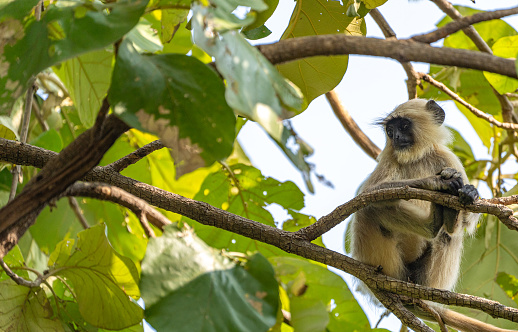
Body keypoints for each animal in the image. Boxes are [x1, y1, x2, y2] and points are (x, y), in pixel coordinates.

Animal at [352, 99, 516, 332]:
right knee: (370, 209)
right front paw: (435, 182)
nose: (396, 138)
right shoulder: (389, 159)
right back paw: (434, 221)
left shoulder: (447, 158)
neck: (417, 158)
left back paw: (447, 218)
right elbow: (367, 195)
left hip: (425, 278)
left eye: (403, 126)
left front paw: (470, 193)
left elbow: (469, 220)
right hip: (382, 259)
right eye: (390, 131)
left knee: (450, 234)